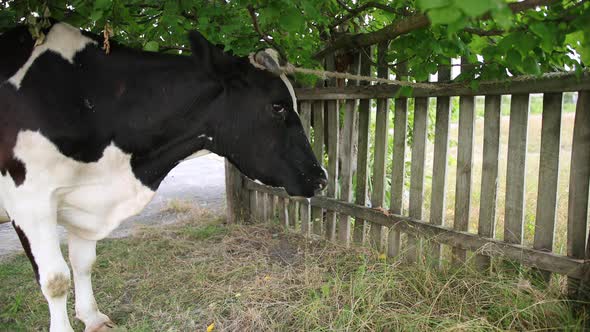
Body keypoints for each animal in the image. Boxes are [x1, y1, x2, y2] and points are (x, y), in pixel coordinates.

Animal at [0, 22, 328, 330]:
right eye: (277, 106)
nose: (321, 177)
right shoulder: (30, 201)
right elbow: (55, 279)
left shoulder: (85, 198)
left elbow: (83, 262)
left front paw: (93, 319)